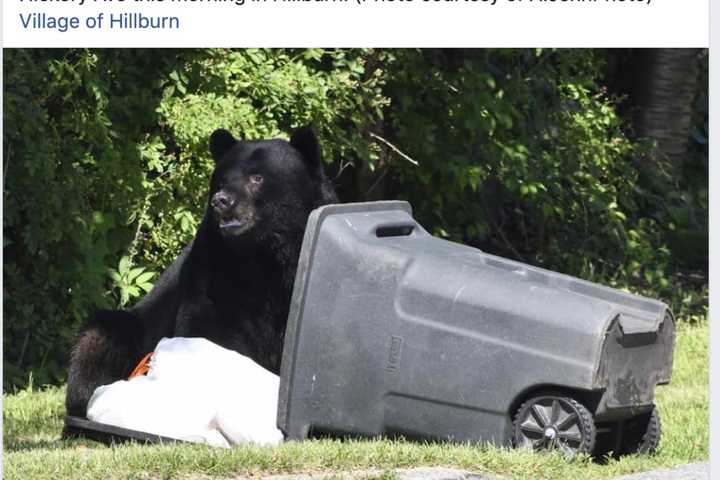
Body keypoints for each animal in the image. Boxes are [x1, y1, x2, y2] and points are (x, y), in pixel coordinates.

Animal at [65, 126, 338, 416]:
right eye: (221, 180)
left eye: (257, 177)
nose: (223, 200)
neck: (263, 254)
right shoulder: (214, 267)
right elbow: (208, 326)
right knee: (99, 338)